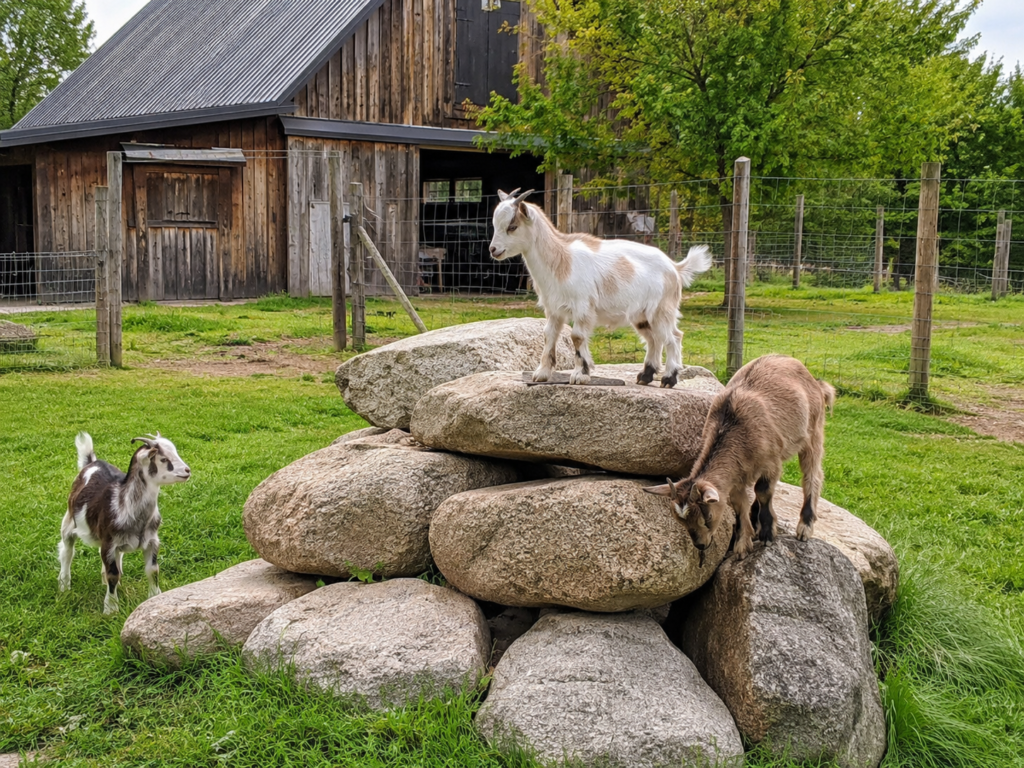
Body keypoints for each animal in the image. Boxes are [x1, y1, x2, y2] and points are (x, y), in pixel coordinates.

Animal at [59, 432, 190, 614]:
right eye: (163, 459)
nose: (187, 470)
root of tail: (92, 462)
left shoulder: (152, 541)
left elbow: (152, 570)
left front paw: (154, 597)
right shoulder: (109, 543)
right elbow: (113, 574)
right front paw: (111, 609)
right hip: (69, 521)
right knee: (67, 551)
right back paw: (64, 586)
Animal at [489, 189, 712, 388]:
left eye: (512, 226)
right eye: (495, 225)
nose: (493, 250)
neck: (561, 259)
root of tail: (675, 268)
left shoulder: (582, 305)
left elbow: (577, 337)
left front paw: (580, 375)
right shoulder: (553, 308)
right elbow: (548, 335)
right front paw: (541, 374)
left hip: (662, 310)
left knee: (673, 337)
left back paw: (668, 379)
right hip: (641, 315)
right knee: (654, 339)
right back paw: (645, 376)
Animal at [644, 355, 835, 563]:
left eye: (707, 517)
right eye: (680, 520)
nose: (701, 545)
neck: (732, 425)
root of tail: (814, 381)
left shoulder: (771, 462)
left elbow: (763, 490)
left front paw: (767, 534)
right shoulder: (737, 474)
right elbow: (738, 504)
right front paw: (743, 544)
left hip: (813, 431)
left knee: (812, 475)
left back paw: (805, 526)